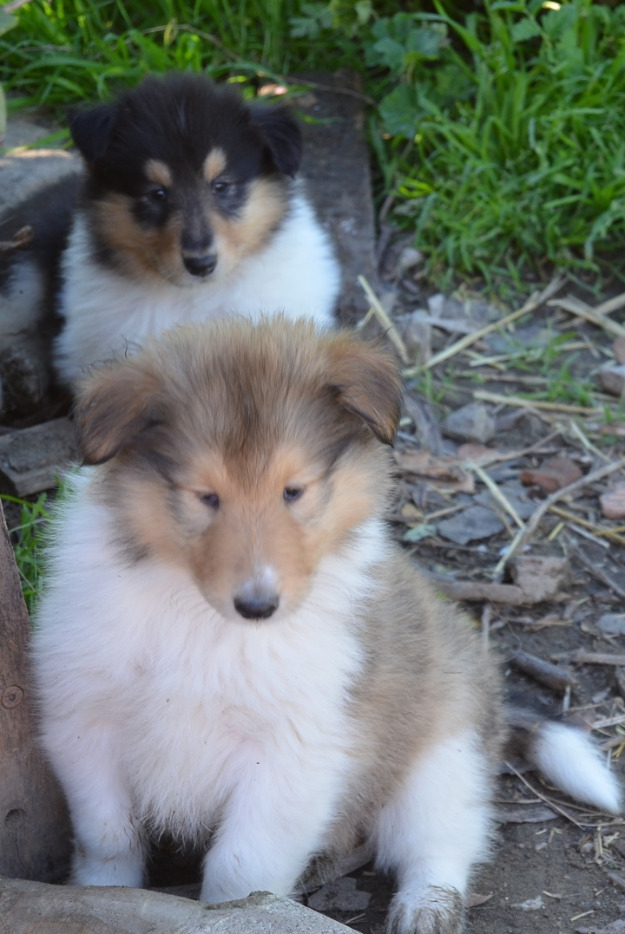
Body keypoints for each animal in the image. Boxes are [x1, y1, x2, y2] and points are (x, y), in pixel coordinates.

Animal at [33, 318, 620, 932]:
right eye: (205, 496)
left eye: (294, 491)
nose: (258, 605)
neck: (202, 621)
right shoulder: (85, 722)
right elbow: (106, 839)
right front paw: (100, 900)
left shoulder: (296, 754)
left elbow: (241, 869)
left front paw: (240, 914)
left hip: (442, 760)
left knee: (443, 840)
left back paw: (425, 908)